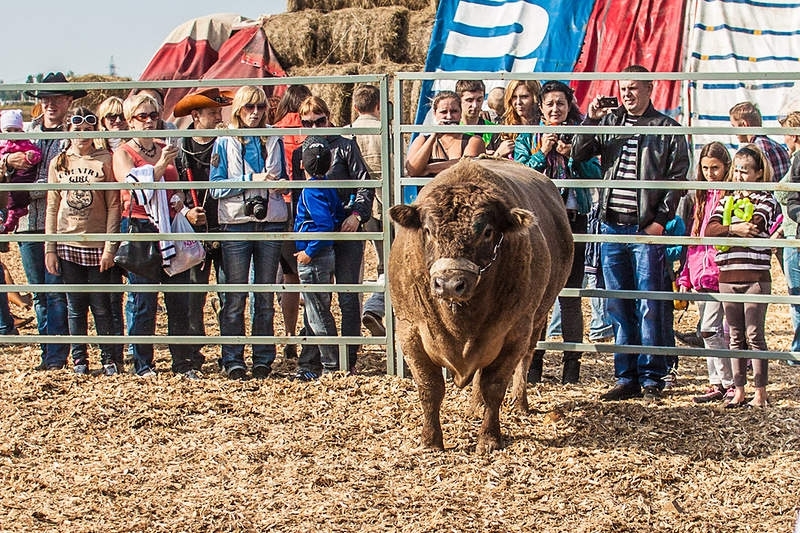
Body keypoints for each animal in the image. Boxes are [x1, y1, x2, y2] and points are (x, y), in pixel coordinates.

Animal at [390, 158, 572, 454]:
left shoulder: (515, 332)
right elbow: (430, 387)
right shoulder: (409, 331)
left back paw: (520, 403)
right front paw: (431, 439)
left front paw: (489, 438)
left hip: (538, 318)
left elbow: (494, 386)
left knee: (525, 361)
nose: (449, 283)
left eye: (487, 232)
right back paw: (475, 407)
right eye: (427, 230)